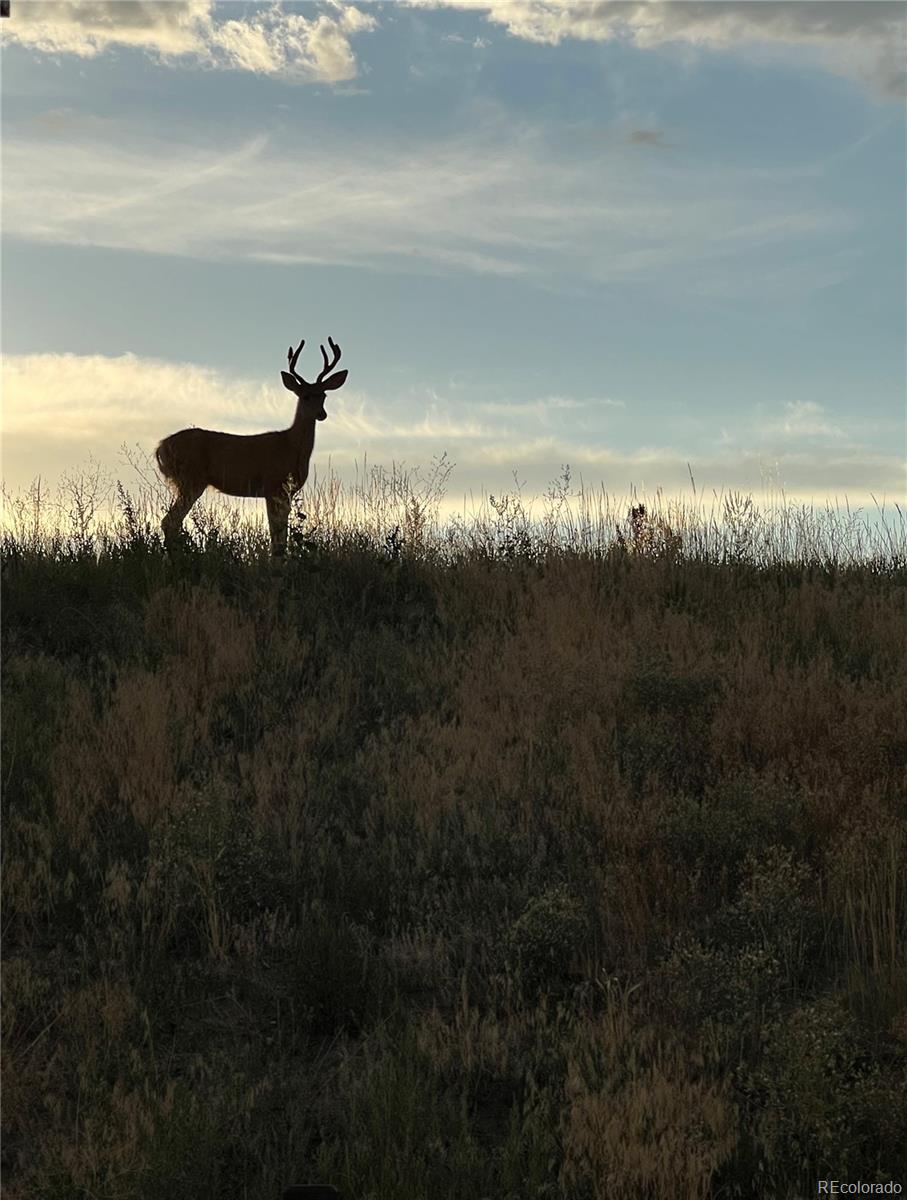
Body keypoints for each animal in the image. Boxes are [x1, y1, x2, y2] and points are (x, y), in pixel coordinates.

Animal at [155, 336, 347, 554]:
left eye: (324, 395)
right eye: (305, 396)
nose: (321, 414)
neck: (291, 447)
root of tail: (161, 447)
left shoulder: (285, 493)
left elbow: (281, 536)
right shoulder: (273, 486)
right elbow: (276, 536)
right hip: (191, 479)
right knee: (169, 522)